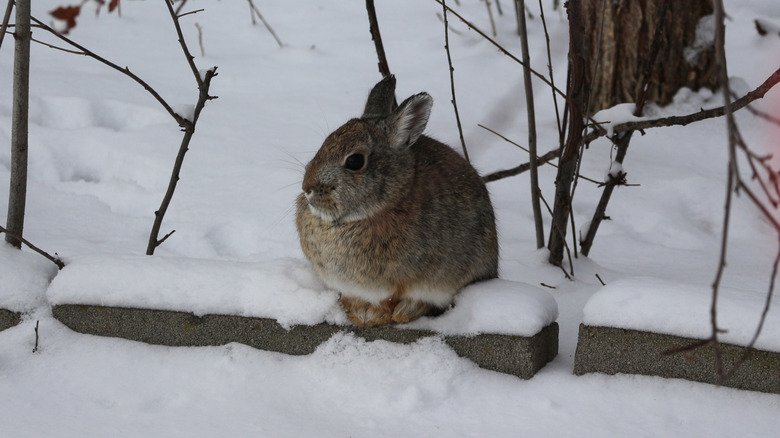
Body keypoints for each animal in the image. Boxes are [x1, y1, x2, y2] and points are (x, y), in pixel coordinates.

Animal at [296, 75, 496, 326]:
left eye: (355, 161)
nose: (307, 188)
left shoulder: (400, 283)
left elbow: (390, 301)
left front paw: (374, 317)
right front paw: (357, 312)